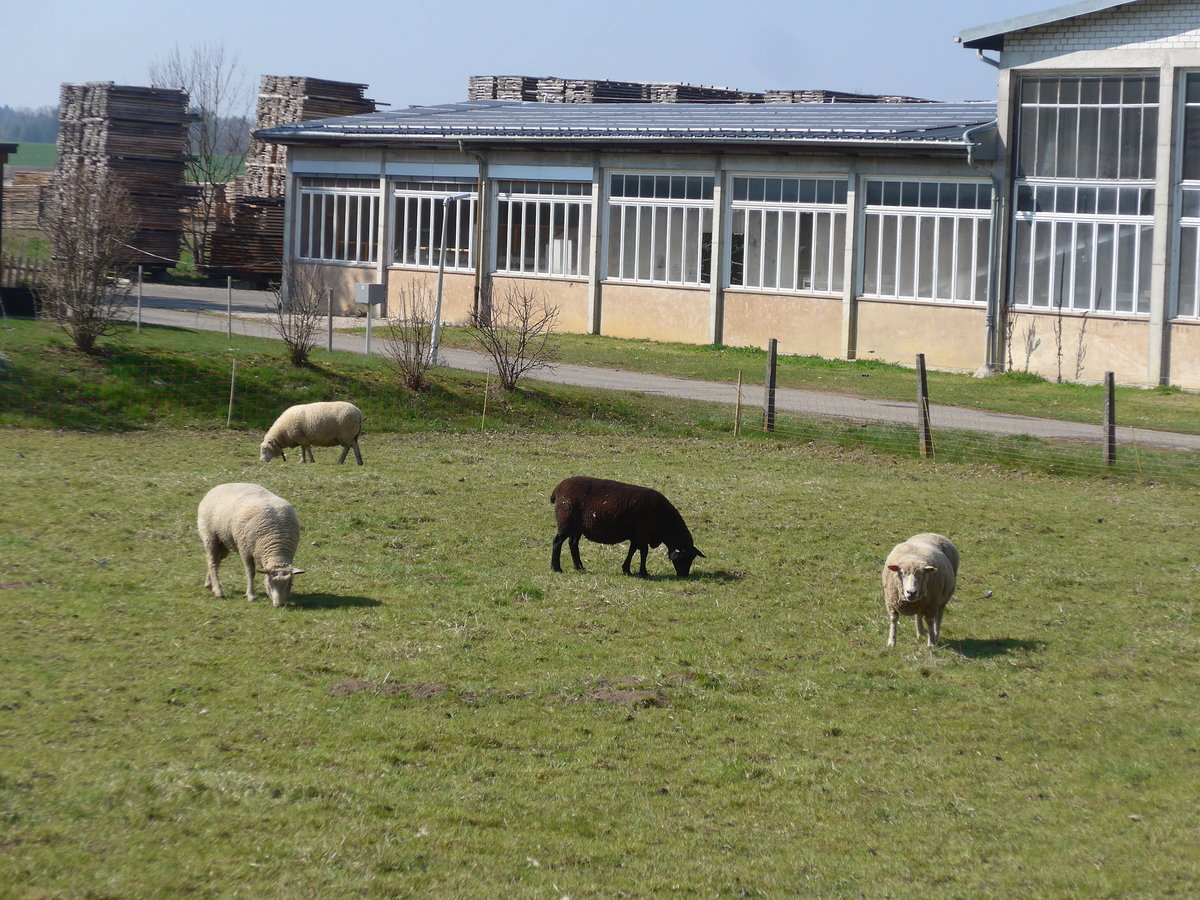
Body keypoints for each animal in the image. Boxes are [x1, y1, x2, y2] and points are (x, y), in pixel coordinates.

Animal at [550, 476, 705, 578]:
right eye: (684, 558)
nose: (684, 576)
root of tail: (557, 490)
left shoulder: (636, 535)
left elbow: (632, 551)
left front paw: (627, 570)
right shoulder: (643, 533)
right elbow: (644, 552)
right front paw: (643, 573)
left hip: (577, 527)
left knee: (573, 543)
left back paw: (579, 567)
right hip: (566, 522)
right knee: (557, 542)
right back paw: (556, 568)